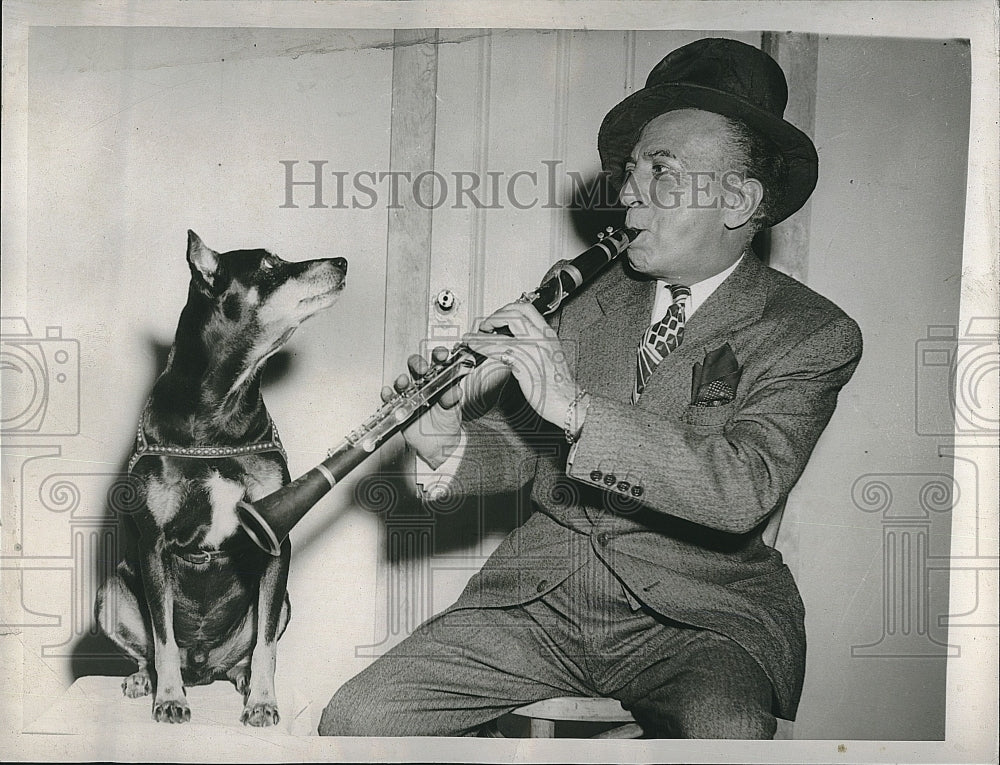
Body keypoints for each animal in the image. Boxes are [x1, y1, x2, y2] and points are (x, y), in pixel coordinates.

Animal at [97, 231, 348, 724]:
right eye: (269, 267)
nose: (343, 262)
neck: (221, 411)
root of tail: (201, 669)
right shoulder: (153, 545)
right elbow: (162, 637)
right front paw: (169, 700)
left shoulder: (275, 543)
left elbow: (266, 645)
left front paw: (264, 702)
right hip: (110, 592)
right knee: (152, 651)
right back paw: (145, 680)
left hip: (282, 603)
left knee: (245, 653)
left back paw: (243, 678)